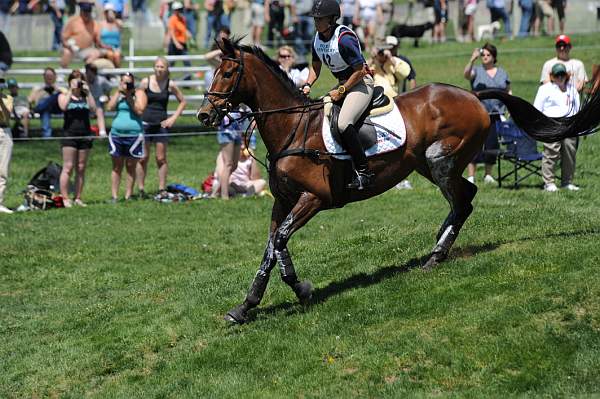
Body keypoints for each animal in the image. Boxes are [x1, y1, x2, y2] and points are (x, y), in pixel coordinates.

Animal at [199, 38, 600, 324]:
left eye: (228, 73)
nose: (204, 114)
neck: (293, 127)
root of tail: (472, 94)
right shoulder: (283, 201)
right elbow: (270, 249)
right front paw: (245, 306)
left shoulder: (314, 198)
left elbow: (280, 241)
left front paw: (302, 289)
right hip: (425, 164)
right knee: (463, 197)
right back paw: (438, 245)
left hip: (440, 160)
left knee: (464, 198)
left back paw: (437, 254)